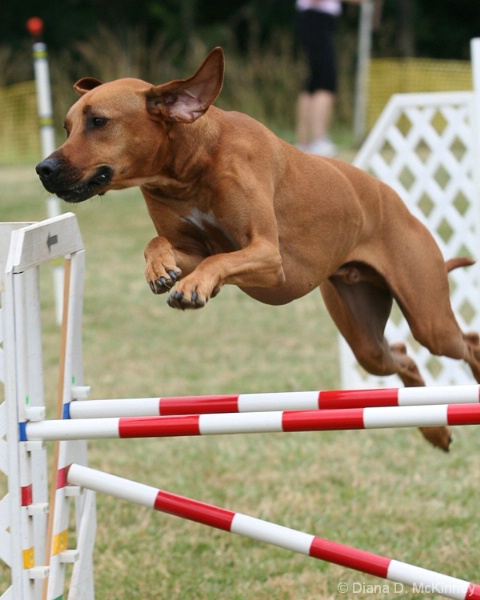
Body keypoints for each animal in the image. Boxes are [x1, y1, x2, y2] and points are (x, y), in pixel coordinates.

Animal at [36, 48, 480, 450]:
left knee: (465, 340)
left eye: (98, 121)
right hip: (364, 335)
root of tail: (400, 206)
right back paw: (435, 431)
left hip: (429, 316)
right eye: (66, 126)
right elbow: (160, 242)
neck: (189, 166)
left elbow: (221, 258)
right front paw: (160, 268)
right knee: (401, 354)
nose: (44, 168)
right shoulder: (191, 247)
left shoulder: (267, 255)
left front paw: (193, 287)